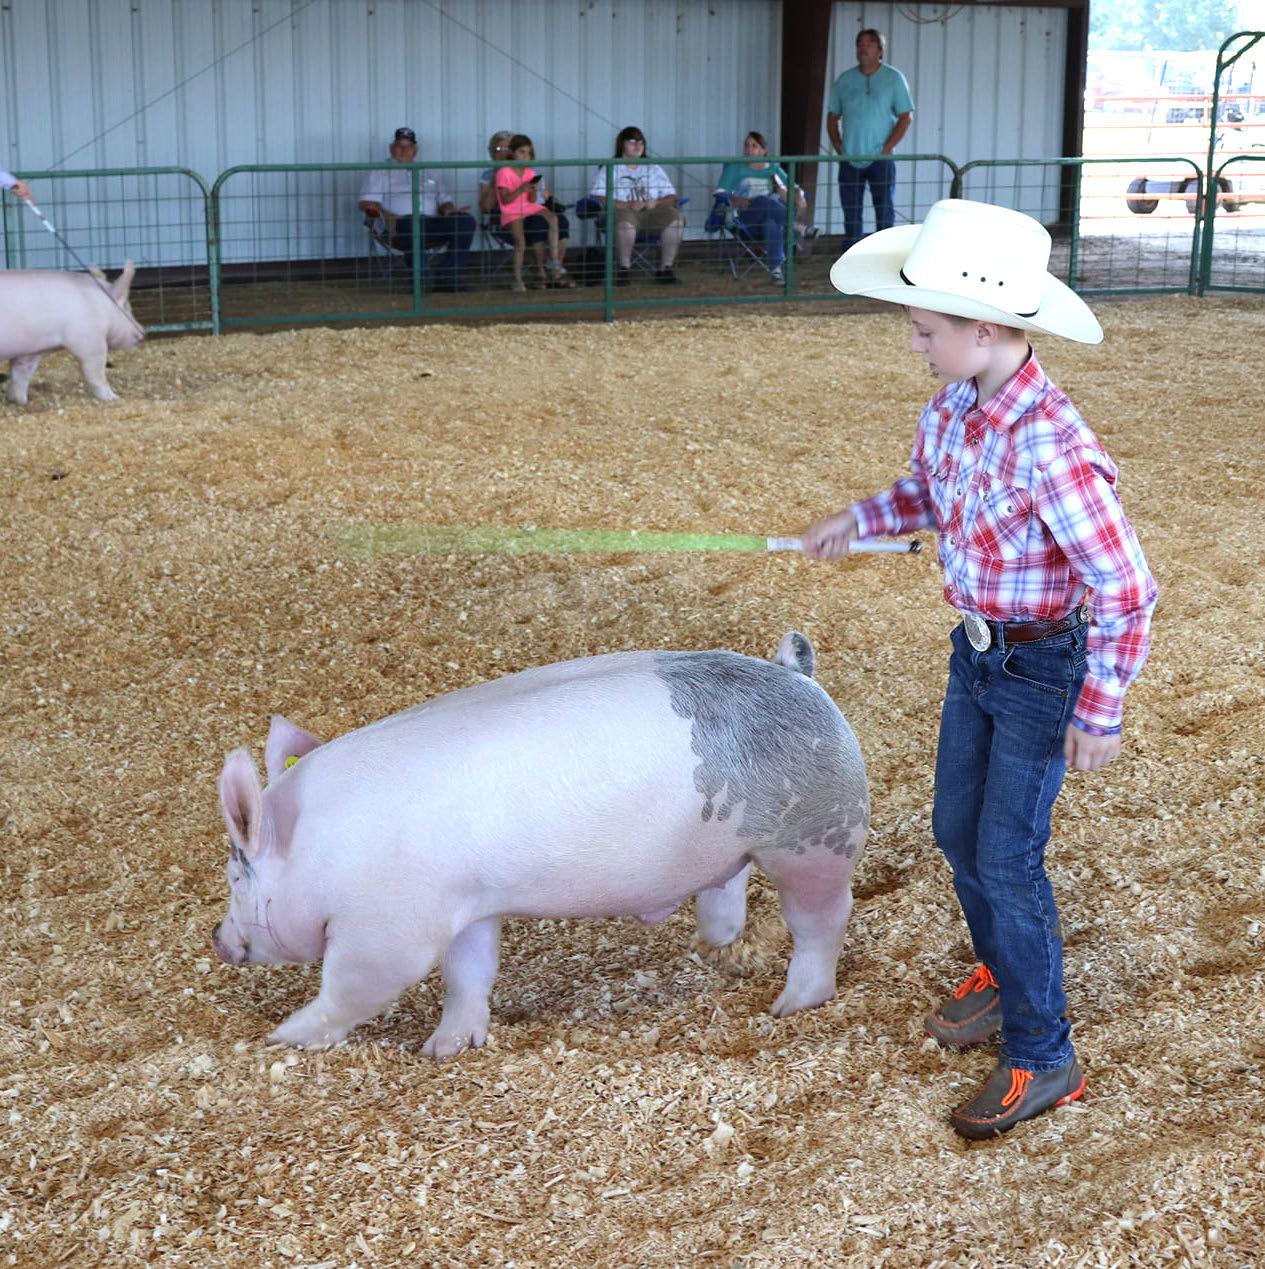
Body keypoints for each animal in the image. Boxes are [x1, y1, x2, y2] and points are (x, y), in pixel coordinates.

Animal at [0, 262, 144, 404]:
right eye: (125, 306)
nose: (142, 331)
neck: (101, 306)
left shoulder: (31, 351)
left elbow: (22, 374)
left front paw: (20, 401)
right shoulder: (90, 339)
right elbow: (96, 372)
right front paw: (113, 397)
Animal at [212, 631, 869, 1058]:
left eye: (235, 875)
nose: (219, 939)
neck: (317, 851)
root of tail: (798, 676)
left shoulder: (390, 926)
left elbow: (355, 985)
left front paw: (283, 1036)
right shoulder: (469, 905)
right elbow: (469, 973)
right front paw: (443, 1050)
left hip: (816, 836)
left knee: (824, 917)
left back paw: (789, 1005)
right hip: (737, 841)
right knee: (729, 883)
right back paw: (711, 946)